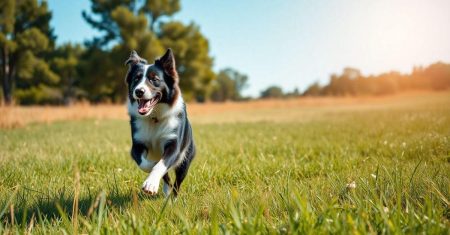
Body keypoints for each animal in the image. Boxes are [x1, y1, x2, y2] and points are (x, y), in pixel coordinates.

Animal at [125, 48, 195, 196]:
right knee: (167, 178)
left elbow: (161, 165)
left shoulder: (174, 145)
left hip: (186, 159)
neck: (154, 117)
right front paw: (151, 172)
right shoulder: (137, 145)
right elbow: (145, 164)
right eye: (136, 79)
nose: (139, 91)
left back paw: (173, 198)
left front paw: (151, 184)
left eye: (154, 79)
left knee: (177, 183)